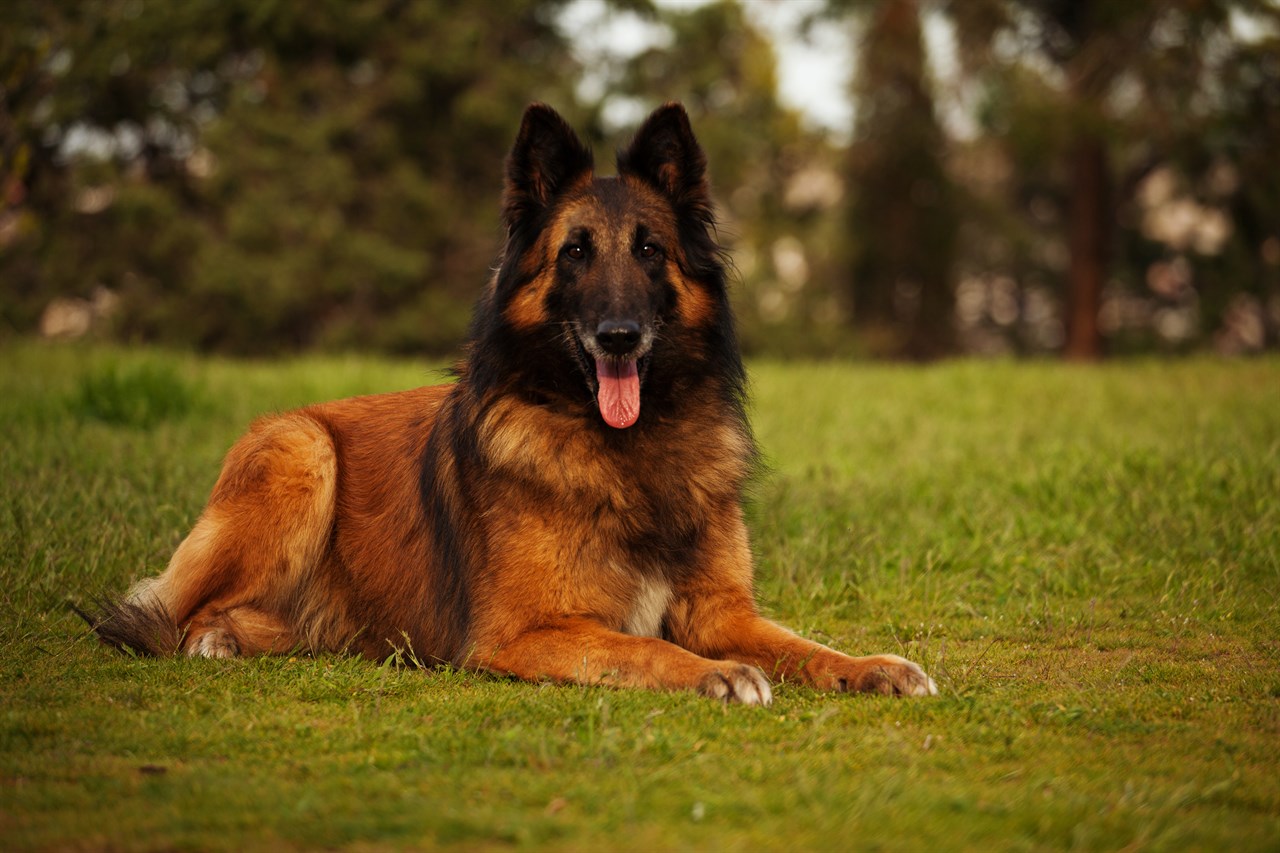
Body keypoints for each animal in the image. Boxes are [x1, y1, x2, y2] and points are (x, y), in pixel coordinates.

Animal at [82, 101, 942, 701]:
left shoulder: (723, 612)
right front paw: (717, 673)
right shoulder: (524, 631)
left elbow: (803, 645)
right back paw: (211, 637)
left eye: (650, 250)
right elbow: (645, 645)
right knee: (173, 612)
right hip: (301, 449)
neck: (629, 448)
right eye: (574, 253)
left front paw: (872, 665)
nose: (619, 336)